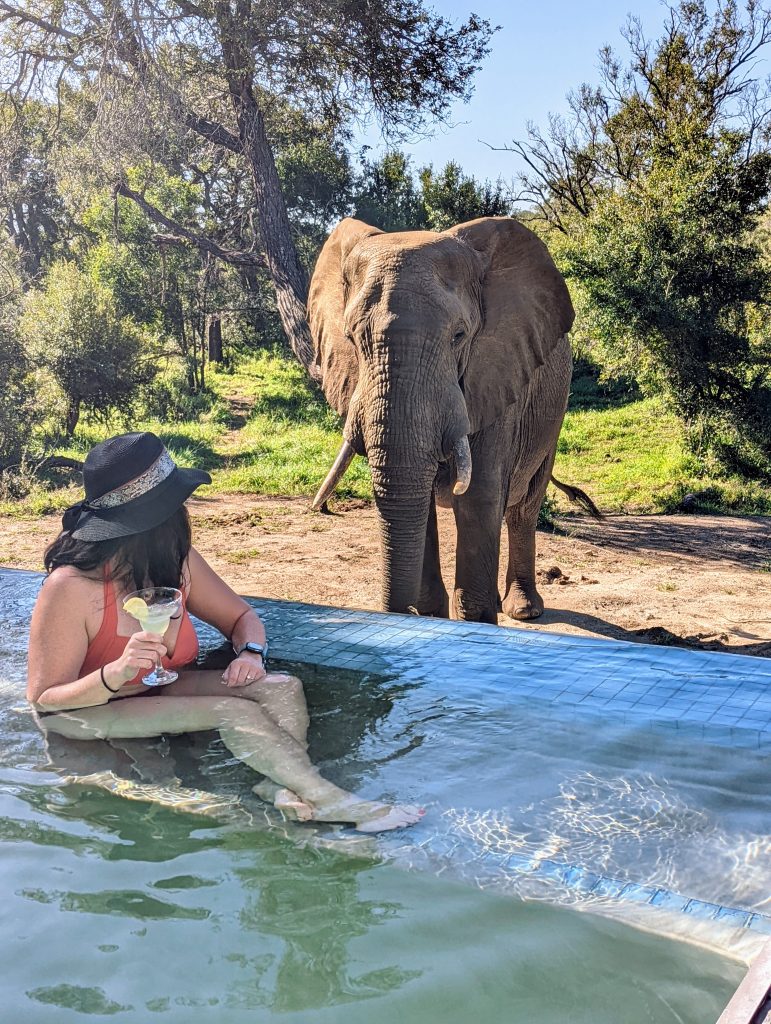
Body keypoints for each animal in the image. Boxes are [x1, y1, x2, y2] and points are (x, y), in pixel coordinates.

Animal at [307, 216, 593, 622]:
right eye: (351, 337)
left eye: (459, 336)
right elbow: (418, 499)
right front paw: (430, 616)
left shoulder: (496, 378)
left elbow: (478, 496)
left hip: (551, 413)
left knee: (522, 507)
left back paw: (523, 611)